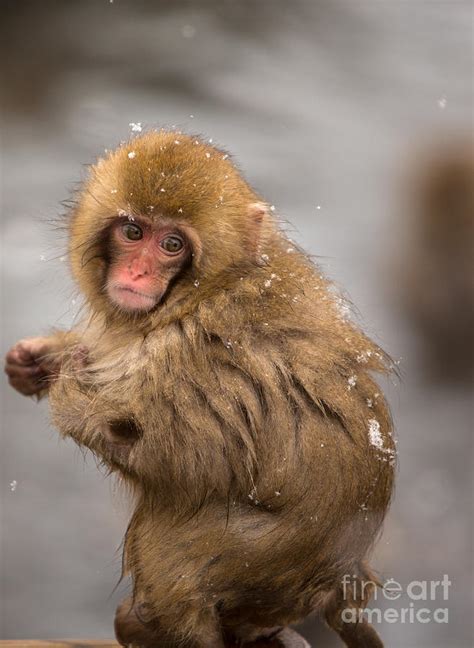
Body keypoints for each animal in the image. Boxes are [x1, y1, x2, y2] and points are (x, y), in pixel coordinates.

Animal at [4, 132, 396, 648]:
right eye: (133, 232)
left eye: (172, 244)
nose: (137, 275)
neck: (202, 291)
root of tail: (342, 579)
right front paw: (39, 358)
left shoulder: (191, 356)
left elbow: (181, 457)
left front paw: (70, 389)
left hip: (259, 565)